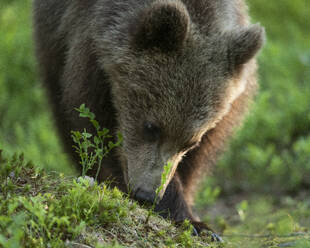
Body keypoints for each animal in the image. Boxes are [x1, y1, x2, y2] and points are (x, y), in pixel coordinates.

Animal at [32, 0, 264, 238]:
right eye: (151, 126)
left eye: (190, 142)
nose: (147, 194)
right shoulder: (87, 54)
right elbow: (95, 130)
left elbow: (198, 159)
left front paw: (196, 221)